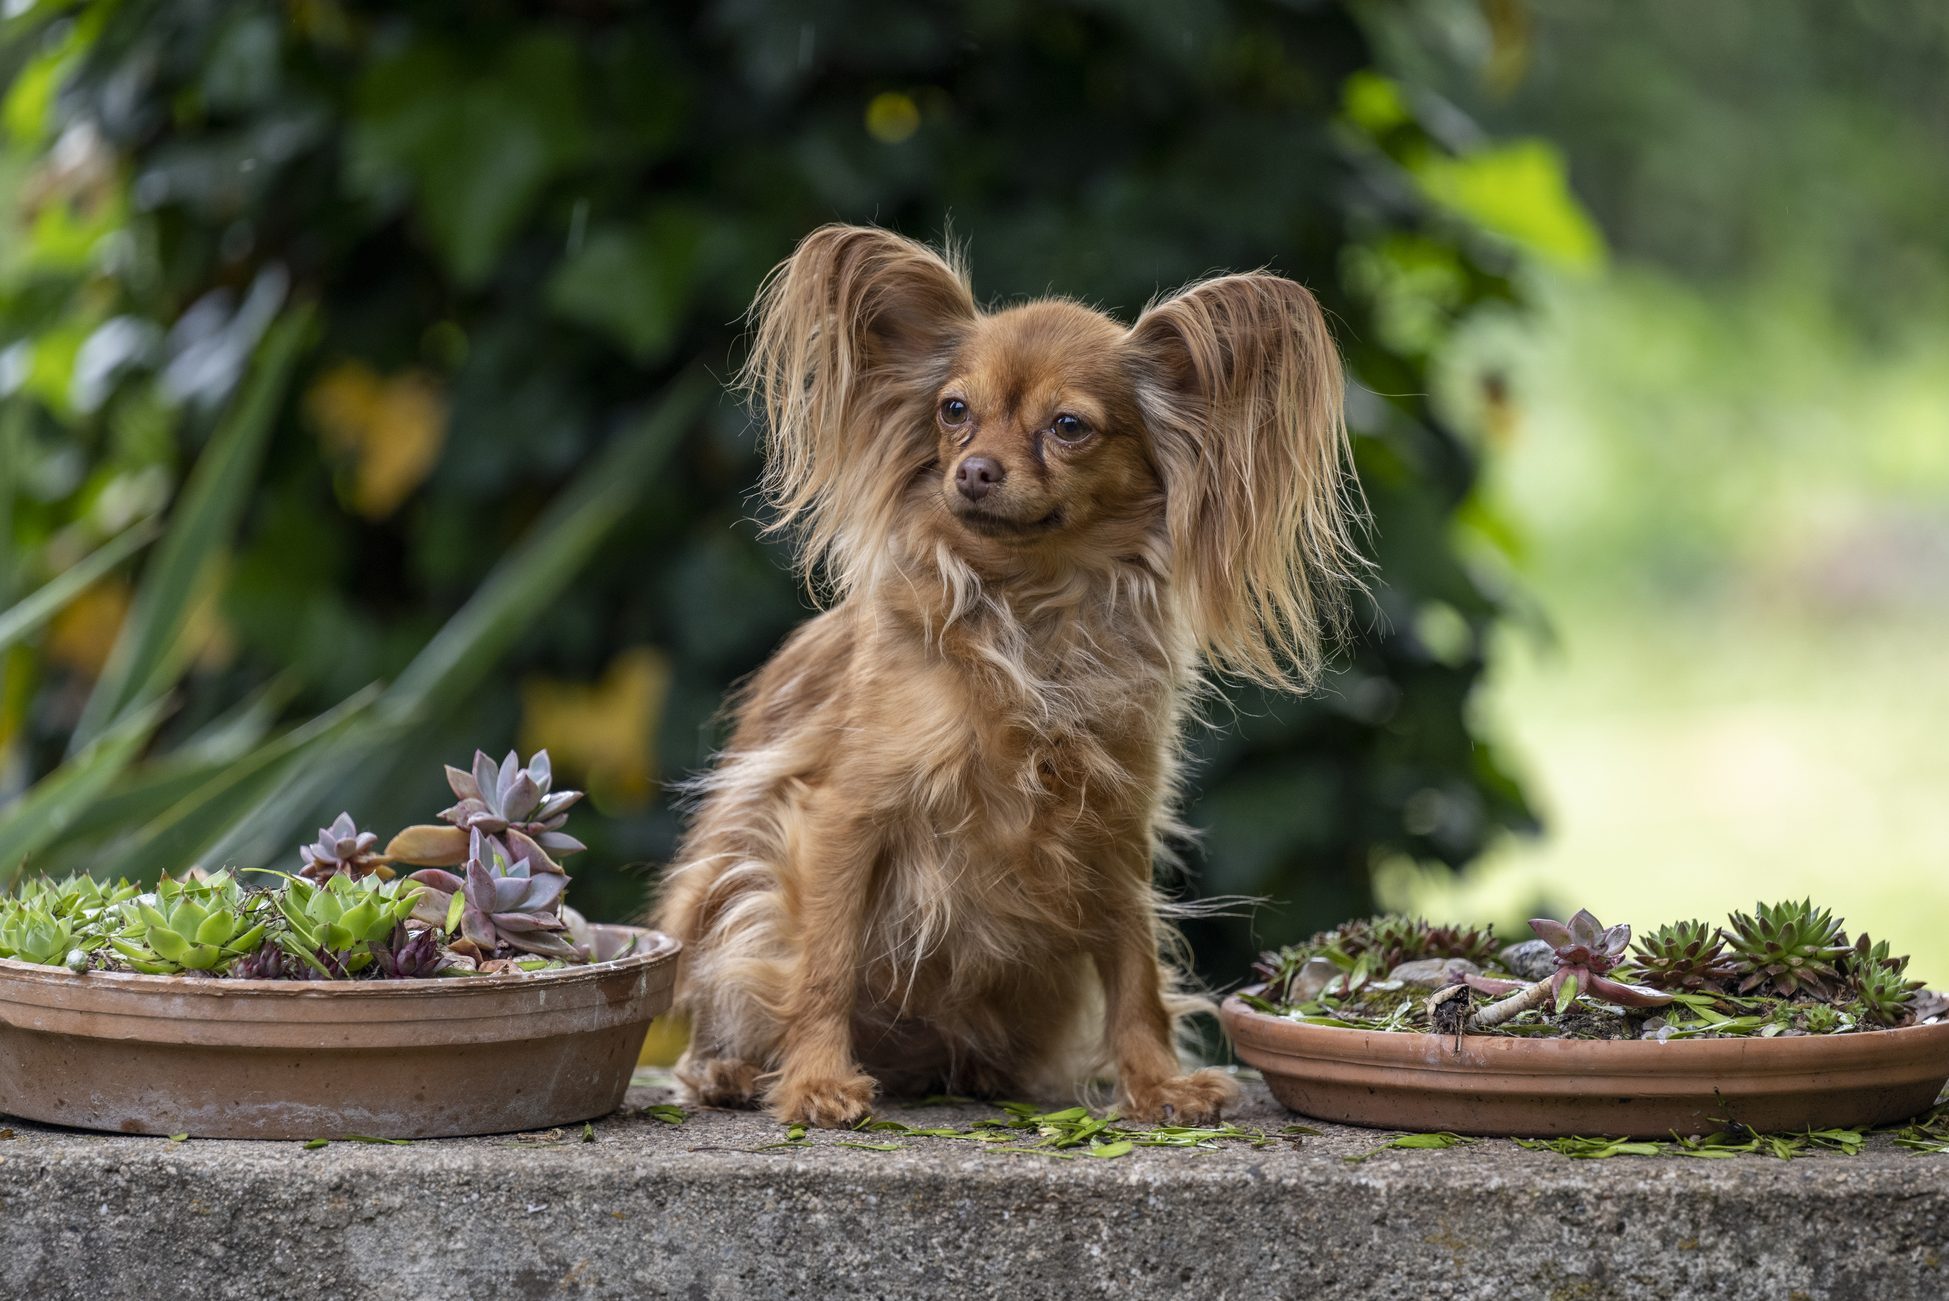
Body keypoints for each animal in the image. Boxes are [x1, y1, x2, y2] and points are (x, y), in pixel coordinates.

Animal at [654, 225, 1356, 1129]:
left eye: (1068, 426)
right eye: (954, 411)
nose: (975, 470)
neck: (1032, 605)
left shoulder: (1113, 828)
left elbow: (1136, 968)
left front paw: (1157, 1084)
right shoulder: (842, 815)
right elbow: (826, 962)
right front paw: (814, 1081)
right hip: (734, 893)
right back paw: (729, 1069)